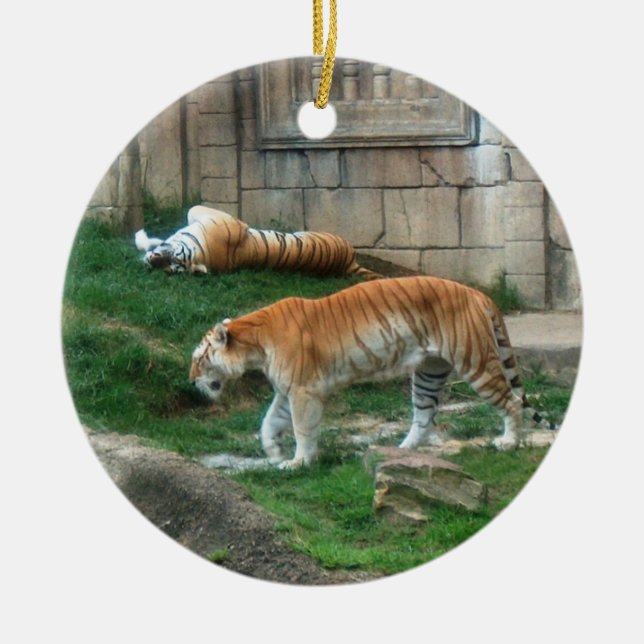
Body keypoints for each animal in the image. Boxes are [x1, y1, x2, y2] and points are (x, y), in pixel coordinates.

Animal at [134, 204, 379, 279]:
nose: (151, 263)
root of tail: (349, 262)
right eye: (167, 270)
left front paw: (141, 235)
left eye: (174, 263)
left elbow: (188, 213)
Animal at [189, 275, 555, 470]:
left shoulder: (304, 391)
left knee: (510, 402)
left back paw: (508, 443)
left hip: (475, 362)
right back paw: (401, 452)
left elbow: (302, 430)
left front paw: (298, 463)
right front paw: (274, 452)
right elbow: (268, 422)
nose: (191, 381)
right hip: (429, 373)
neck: (255, 345)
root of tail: (478, 293)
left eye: (200, 358)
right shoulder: (287, 391)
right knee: (424, 417)